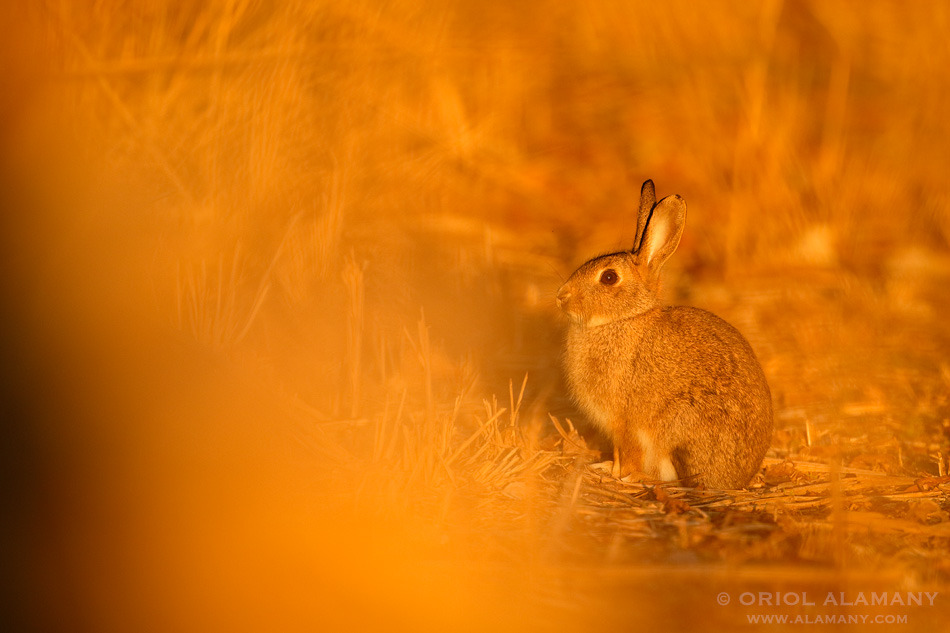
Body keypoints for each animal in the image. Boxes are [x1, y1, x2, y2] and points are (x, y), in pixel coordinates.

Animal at [556, 179, 772, 488]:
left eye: (608, 278)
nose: (561, 296)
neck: (623, 318)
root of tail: (737, 480)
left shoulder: (626, 423)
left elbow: (628, 452)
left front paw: (619, 476)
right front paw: (607, 468)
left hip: (679, 426)